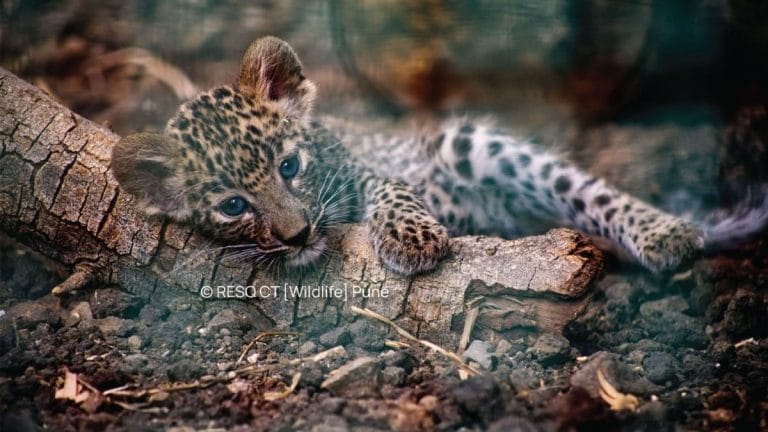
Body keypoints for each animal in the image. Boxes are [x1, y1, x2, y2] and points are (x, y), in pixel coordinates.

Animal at [111, 36, 768, 277]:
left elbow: (391, 189)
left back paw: (664, 233)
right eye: (232, 206)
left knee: (585, 189)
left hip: (469, 145)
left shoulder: (366, 166)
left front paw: (412, 237)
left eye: (290, 167)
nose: (297, 236)